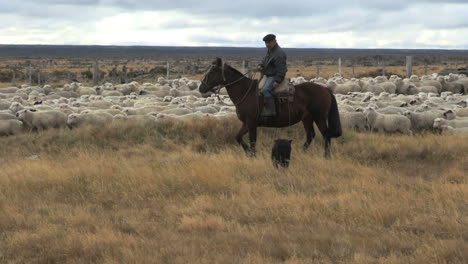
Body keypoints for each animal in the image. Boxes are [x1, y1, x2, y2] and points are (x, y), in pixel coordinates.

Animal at [197, 57, 340, 158]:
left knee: (326, 134)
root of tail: (325, 89)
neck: (246, 92)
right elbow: (238, 137)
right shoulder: (246, 123)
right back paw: (301, 152)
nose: (201, 87)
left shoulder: (252, 123)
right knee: (311, 135)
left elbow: (252, 141)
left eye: (213, 71)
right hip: (307, 118)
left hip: (319, 117)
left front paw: (253, 155)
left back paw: (326, 156)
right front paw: (248, 153)